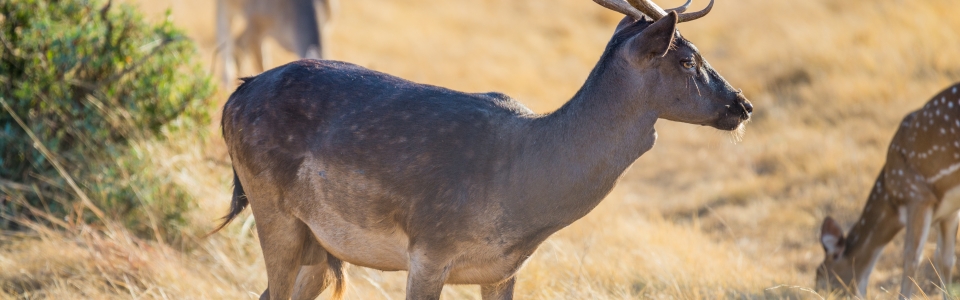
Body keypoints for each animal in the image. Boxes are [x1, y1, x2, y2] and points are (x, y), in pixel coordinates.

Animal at [216, 0, 752, 298]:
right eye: (687, 59)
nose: (741, 104)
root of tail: (235, 97)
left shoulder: (503, 271)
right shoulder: (428, 250)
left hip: (318, 244)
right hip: (272, 210)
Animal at [816, 82, 960, 300]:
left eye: (821, 277)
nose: (816, 293)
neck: (892, 195)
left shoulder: (917, 195)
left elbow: (911, 256)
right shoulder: (949, 211)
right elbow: (945, 260)